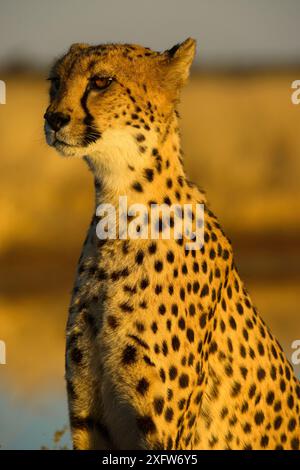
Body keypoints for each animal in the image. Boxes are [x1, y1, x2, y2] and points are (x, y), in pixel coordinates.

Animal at [44, 38, 300, 450]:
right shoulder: (87, 418)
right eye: (55, 82)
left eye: (101, 82)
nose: (52, 119)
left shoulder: (162, 431)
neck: (119, 208)